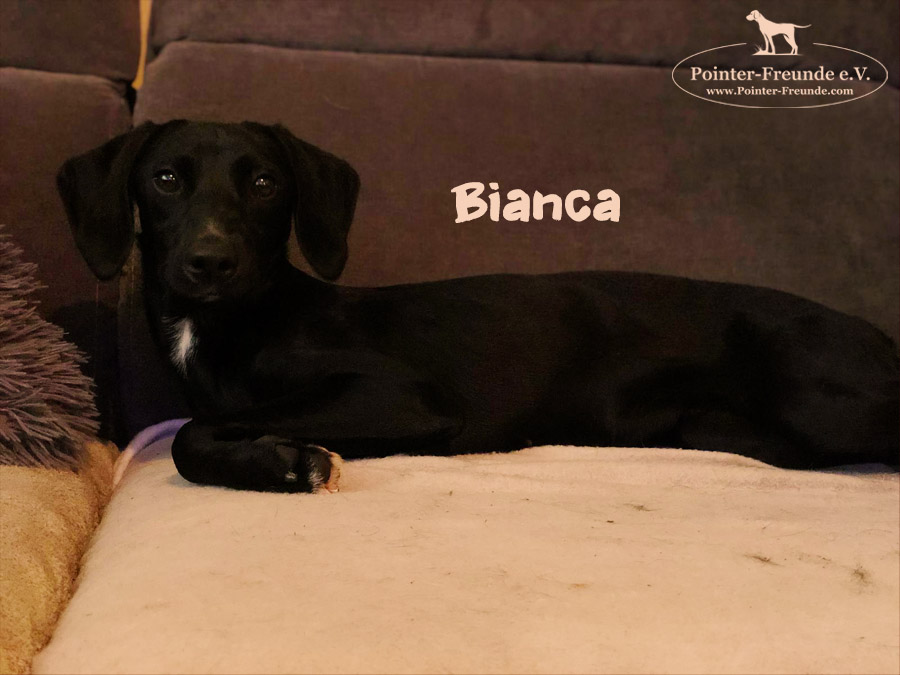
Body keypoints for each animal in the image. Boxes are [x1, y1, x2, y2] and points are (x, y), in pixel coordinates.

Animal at [57, 120, 899, 492]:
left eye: (264, 182)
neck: (236, 322)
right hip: (717, 425)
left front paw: (283, 460)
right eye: (165, 178)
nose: (210, 262)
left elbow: (194, 430)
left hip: (818, 396)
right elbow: (199, 425)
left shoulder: (401, 397)